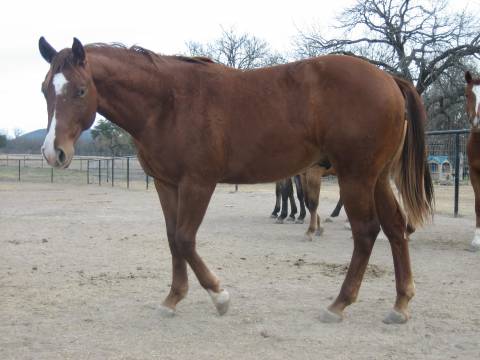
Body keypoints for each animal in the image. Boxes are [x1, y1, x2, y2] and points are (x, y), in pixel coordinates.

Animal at [39, 37, 434, 324]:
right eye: (45, 89)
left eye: (80, 90)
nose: (53, 152)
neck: (169, 103)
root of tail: (389, 78)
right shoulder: (168, 185)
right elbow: (172, 238)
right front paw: (173, 298)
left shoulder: (198, 182)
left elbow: (184, 239)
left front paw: (219, 297)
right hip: (376, 178)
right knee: (395, 228)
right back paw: (400, 305)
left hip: (356, 177)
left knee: (366, 232)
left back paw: (338, 304)